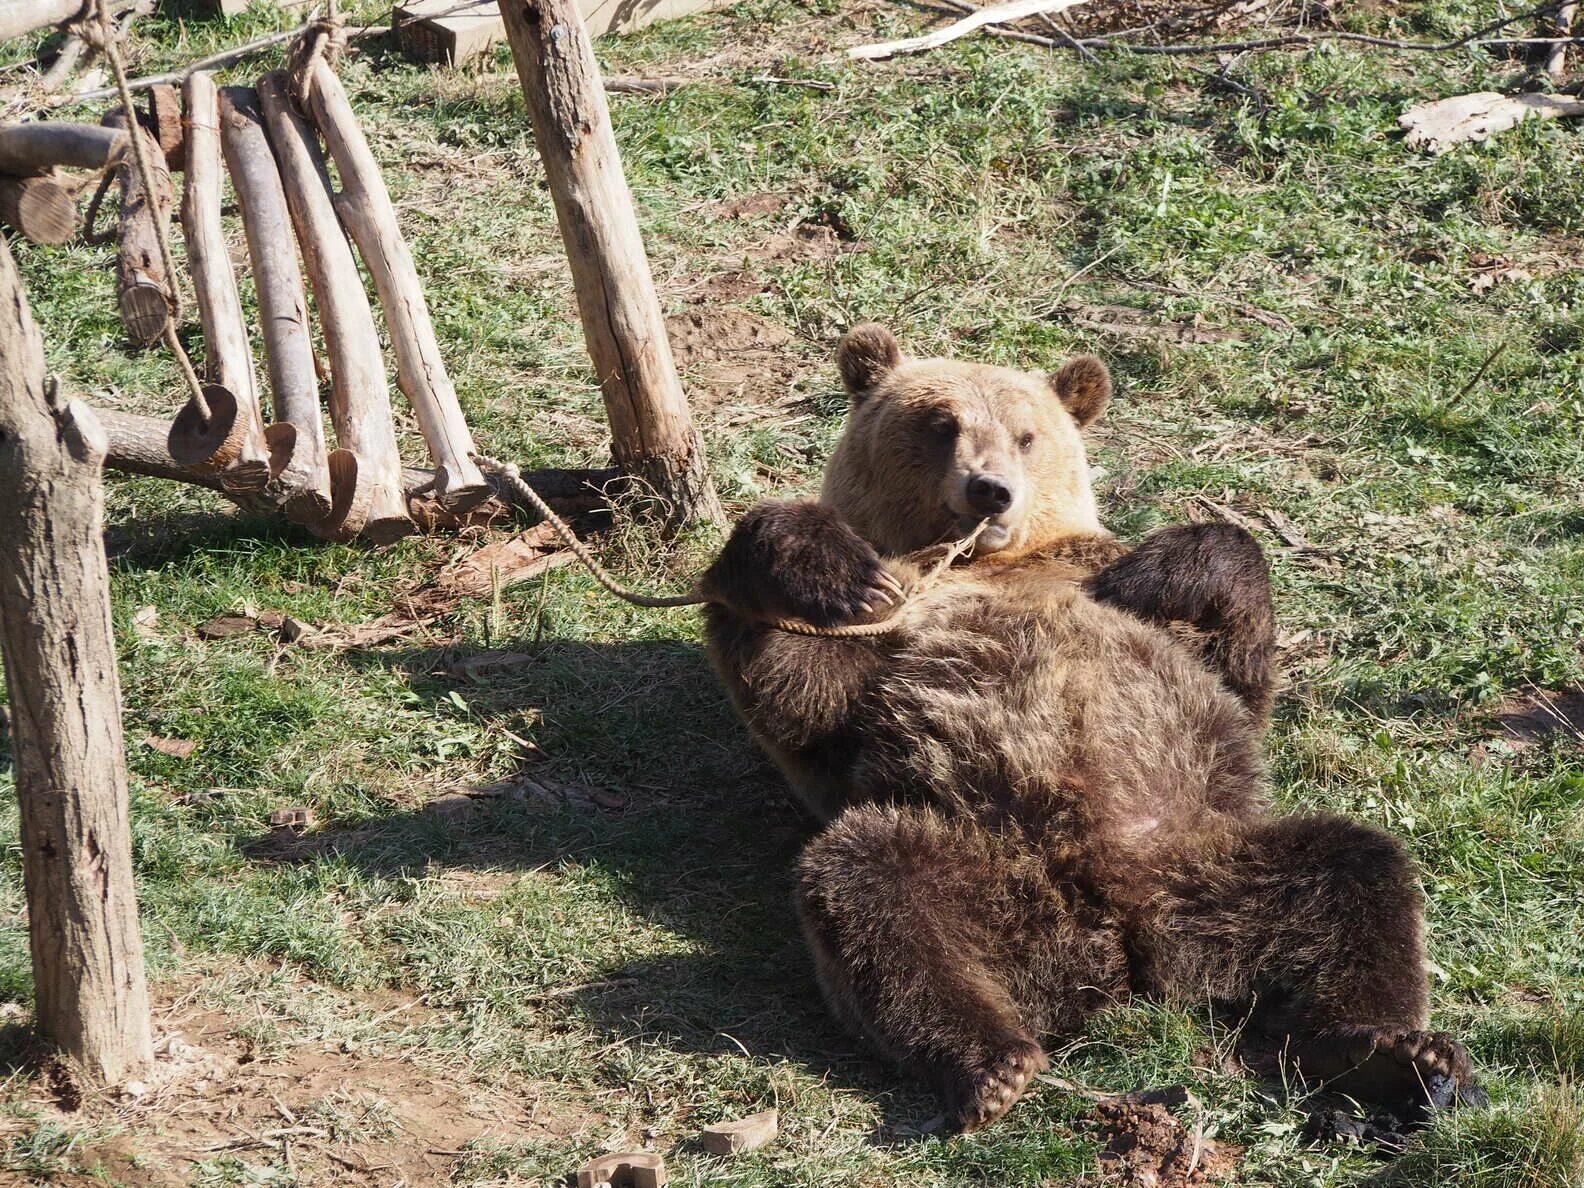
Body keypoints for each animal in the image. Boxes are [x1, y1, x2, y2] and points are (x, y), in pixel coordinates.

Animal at [700, 323, 1476, 1134]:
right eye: (941, 424)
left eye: (1026, 434)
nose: (990, 489)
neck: (990, 562)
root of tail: (1118, 935)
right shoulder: (894, 631)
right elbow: (799, 689)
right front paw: (823, 566)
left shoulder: (1111, 594)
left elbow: (1232, 651)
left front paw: (1153, 573)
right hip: (987, 863)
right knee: (872, 886)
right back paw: (992, 1062)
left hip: (1214, 858)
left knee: (1358, 875)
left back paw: (1389, 1050)